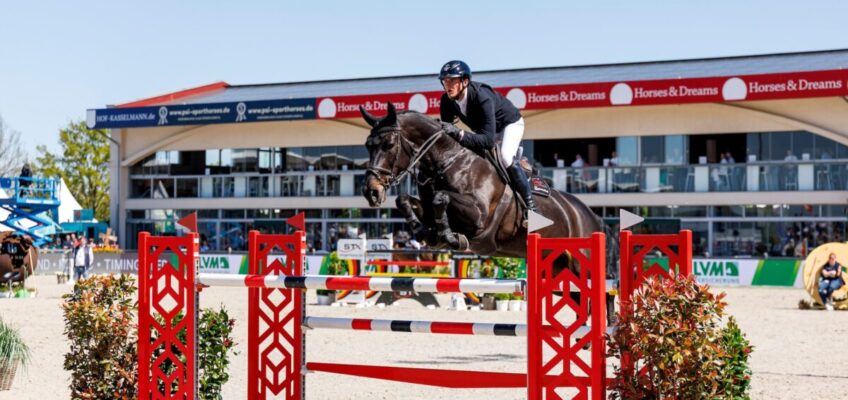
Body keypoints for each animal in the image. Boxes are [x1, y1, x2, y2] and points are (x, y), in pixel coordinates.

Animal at [359, 103, 619, 290]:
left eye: (389, 144)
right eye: (367, 145)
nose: (371, 191)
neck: (448, 161)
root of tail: (595, 218)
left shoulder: (479, 217)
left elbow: (441, 198)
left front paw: (448, 236)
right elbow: (405, 200)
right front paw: (424, 231)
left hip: (581, 264)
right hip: (556, 267)